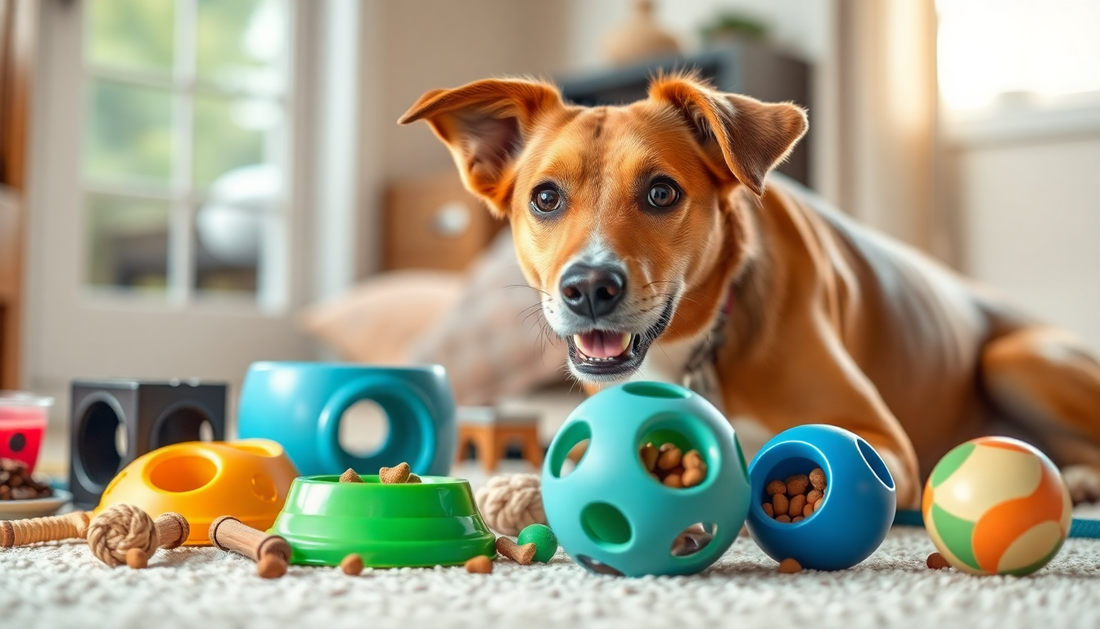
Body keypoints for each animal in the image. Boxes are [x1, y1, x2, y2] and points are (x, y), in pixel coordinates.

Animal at [402, 73, 1100, 508]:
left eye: (662, 192)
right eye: (545, 198)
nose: (589, 288)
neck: (692, 351)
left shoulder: (885, 443)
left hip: (1013, 358)